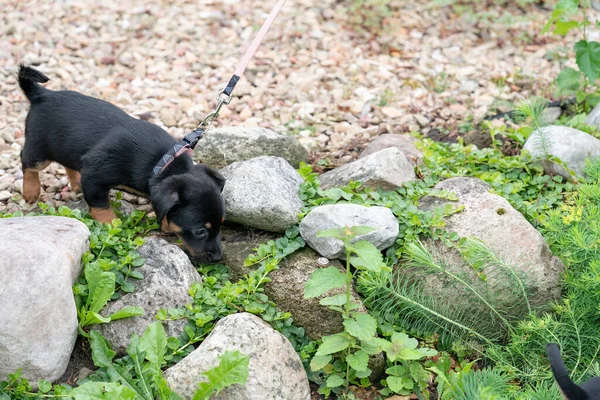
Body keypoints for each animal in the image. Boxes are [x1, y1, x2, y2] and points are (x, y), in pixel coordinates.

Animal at [18, 64, 226, 260]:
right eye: (200, 231)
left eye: (221, 224)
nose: (217, 258)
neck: (161, 162)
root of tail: (41, 94)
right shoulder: (95, 173)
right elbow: (101, 207)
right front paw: (112, 227)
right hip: (40, 151)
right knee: (26, 160)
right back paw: (31, 191)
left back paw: (76, 183)